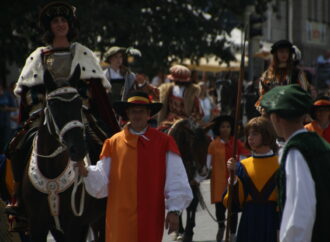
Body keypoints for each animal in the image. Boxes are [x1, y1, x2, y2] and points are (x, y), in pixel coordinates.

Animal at [21, 66, 107, 242]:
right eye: (53, 104)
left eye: (79, 103)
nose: (78, 149)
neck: (52, 170)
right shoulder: (37, 224)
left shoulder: (75, 226)